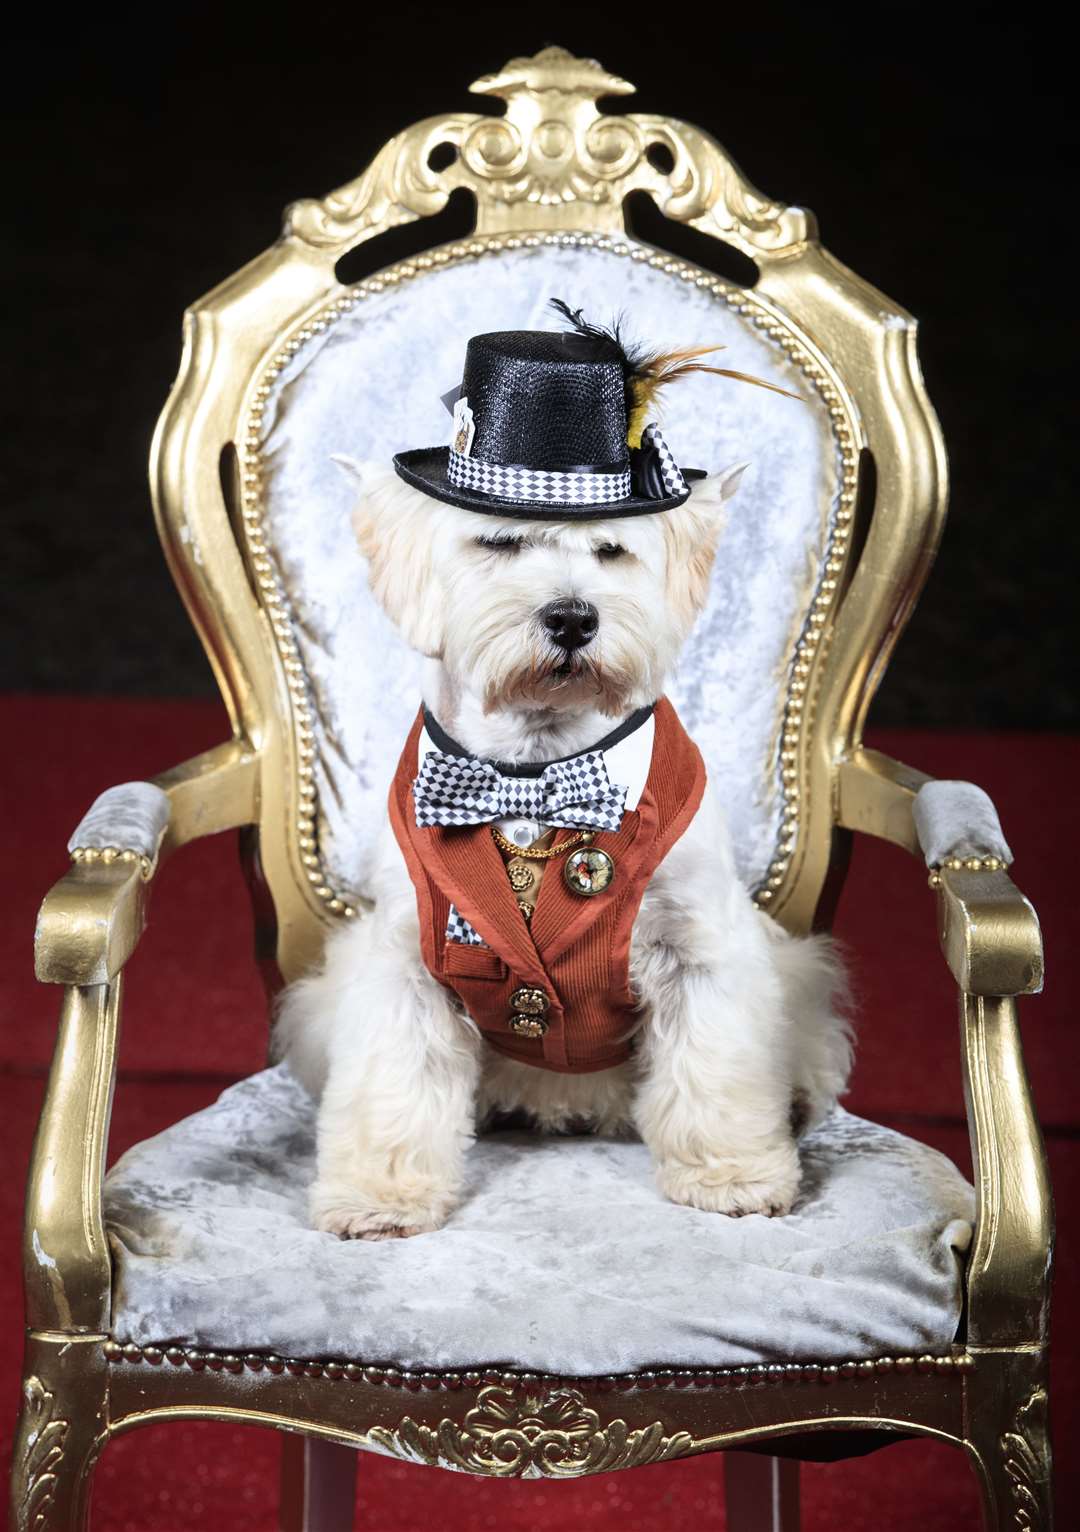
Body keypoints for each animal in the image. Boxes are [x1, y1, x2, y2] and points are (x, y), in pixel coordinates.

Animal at [280, 459, 851, 1237]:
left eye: (611, 550)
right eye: (498, 542)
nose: (573, 617)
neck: (533, 776)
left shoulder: (702, 949)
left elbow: (716, 1070)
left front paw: (733, 1175)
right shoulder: (403, 961)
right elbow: (393, 1085)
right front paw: (378, 1197)